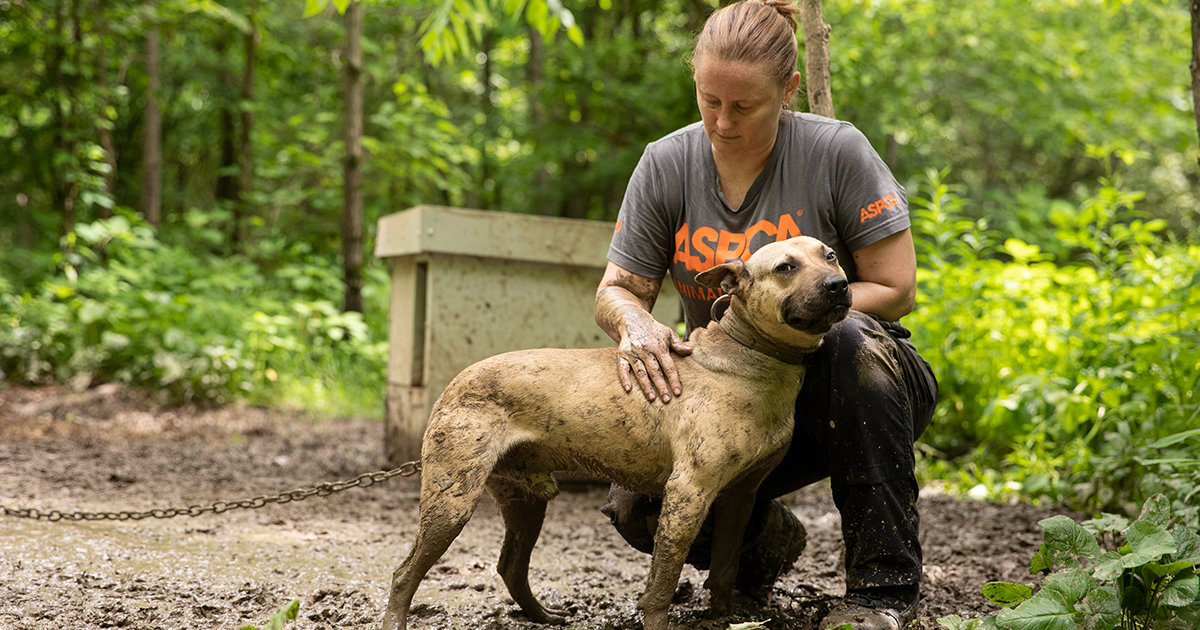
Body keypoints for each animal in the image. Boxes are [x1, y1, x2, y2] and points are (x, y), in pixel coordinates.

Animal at [379, 235, 849, 628]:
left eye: (830, 255)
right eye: (786, 267)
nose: (840, 284)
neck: (751, 358)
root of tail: (455, 383)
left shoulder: (740, 497)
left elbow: (724, 568)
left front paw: (722, 618)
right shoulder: (688, 493)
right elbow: (663, 582)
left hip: (526, 501)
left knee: (510, 566)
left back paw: (544, 616)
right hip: (451, 502)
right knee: (404, 573)